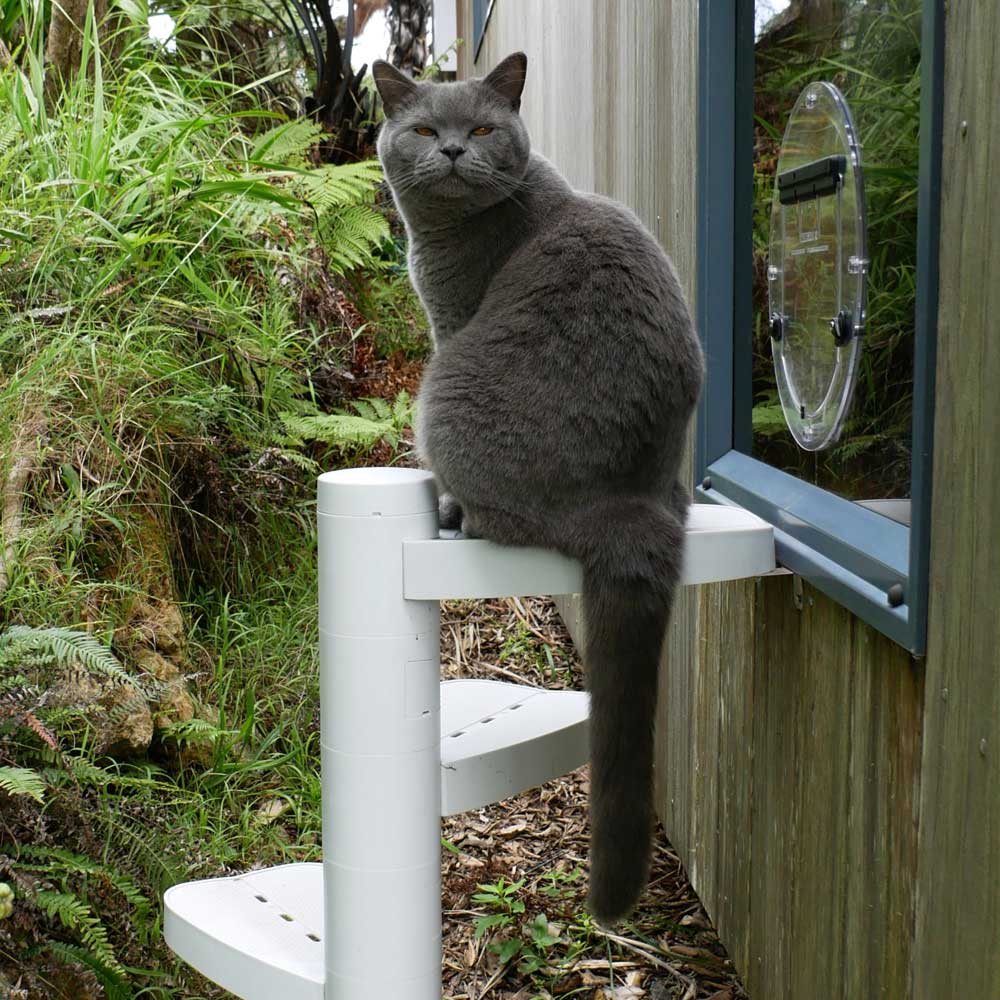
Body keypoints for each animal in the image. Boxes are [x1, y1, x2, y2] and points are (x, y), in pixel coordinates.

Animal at [374, 52, 704, 920]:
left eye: (485, 127)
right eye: (425, 128)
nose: (455, 149)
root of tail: (629, 499)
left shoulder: (450, 321)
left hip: (442, 388)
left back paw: (454, 509)